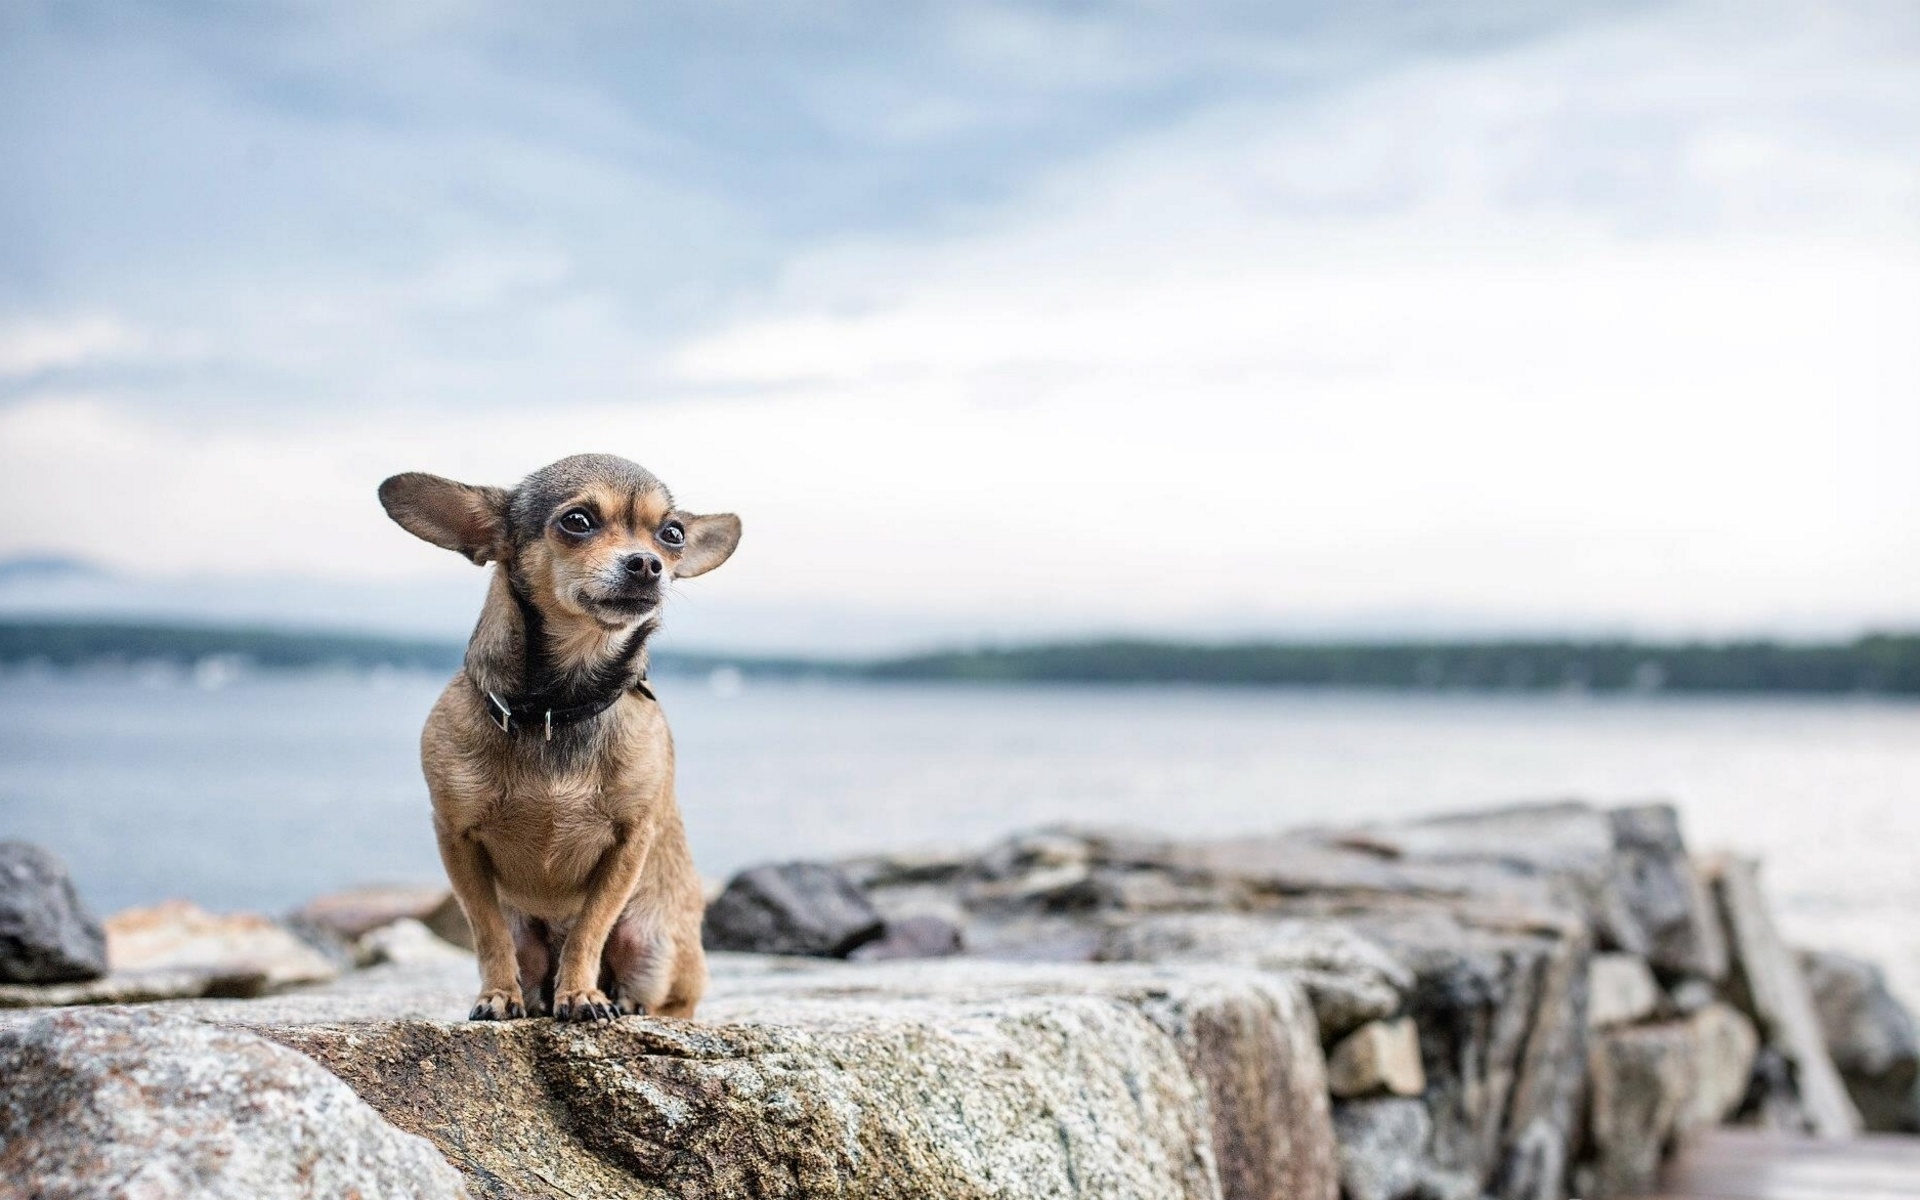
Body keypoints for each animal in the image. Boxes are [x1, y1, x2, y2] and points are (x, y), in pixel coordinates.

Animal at [378, 453, 737, 1013]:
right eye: (578, 521)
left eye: (673, 534)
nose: (648, 563)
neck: (558, 706)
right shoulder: (456, 839)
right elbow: (488, 930)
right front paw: (498, 995)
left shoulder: (629, 844)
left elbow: (590, 928)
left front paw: (582, 994)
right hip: (535, 942)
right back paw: (535, 998)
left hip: (651, 945)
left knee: (671, 1001)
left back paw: (622, 1002)